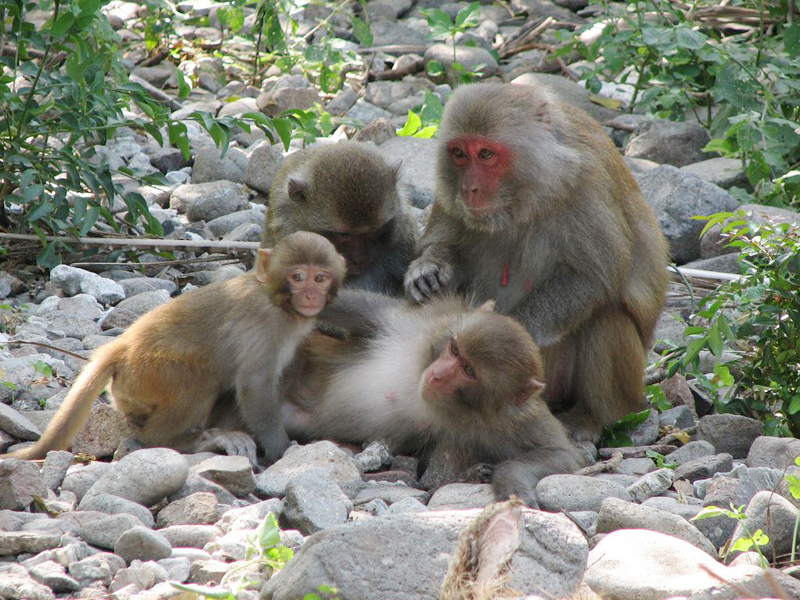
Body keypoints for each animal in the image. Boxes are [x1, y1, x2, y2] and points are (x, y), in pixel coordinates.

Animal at [4, 232, 346, 464]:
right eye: (298, 277)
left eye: (320, 278)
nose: (311, 296)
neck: (277, 300)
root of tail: (120, 348)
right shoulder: (266, 325)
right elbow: (255, 387)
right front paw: (280, 450)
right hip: (150, 373)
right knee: (198, 382)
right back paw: (187, 441)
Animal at [281, 289, 584, 507]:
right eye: (454, 349)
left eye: (468, 370)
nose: (437, 375)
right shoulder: (420, 324)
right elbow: (365, 312)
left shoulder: (513, 419)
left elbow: (563, 454)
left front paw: (510, 481)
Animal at [404, 82, 670, 442]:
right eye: (459, 153)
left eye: (485, 154)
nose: (469, 188)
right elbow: (444, 248)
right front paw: (428, 270)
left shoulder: (586, 181)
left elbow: (594, 276)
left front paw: (509, 331)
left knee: (605, 317)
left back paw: (594, 416)